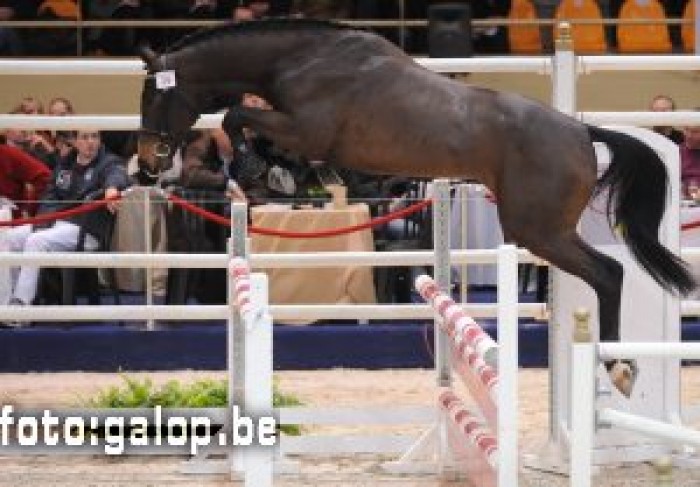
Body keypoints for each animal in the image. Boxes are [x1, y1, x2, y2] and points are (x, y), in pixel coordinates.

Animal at [136, 19, 695, 396]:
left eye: (154, 98)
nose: (146, 164)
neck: (302, 60)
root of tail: (581, 131)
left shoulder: (304, 128)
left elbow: (236, 115)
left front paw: (263, 169)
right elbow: (248, 122)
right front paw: (298, 175)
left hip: (540, 230)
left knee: (608, 273)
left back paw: (619, 366)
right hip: (541, 230)